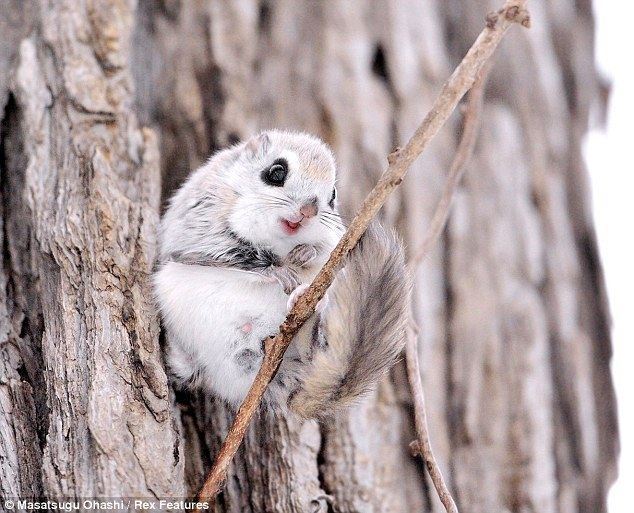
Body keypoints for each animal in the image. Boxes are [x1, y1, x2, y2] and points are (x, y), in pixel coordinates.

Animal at [156, 130, 408, 418]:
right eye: (276, 172)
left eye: (332, 195)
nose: (309, 210)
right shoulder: (201, 224)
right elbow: (232, 254)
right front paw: (279, 271)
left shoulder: (335, 239)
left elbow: (326, 251)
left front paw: (306, 253)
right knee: (190, 370)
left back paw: (304, 302)